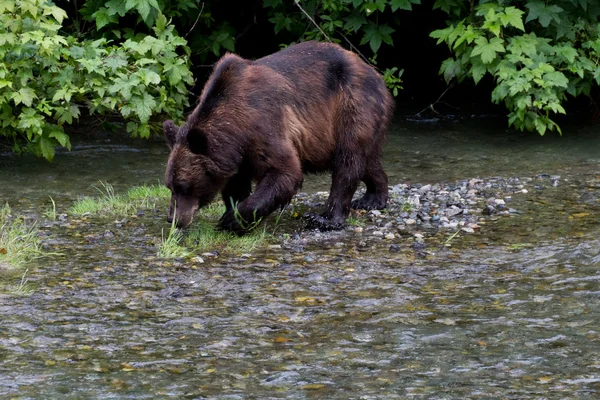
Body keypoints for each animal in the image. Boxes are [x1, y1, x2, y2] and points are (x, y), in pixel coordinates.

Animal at [164, 40, 394, 233]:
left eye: (184, 186)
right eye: (169, 186)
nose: (173, 219)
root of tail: (374, 73)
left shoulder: (265, 124)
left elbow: (284, 171)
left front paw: (233, 219)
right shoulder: (236, 152)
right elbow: (236, 181)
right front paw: (234, 212)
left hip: (352, 104)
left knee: (348, 159)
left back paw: (327, 218)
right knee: (368, 160)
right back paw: (372, 198)